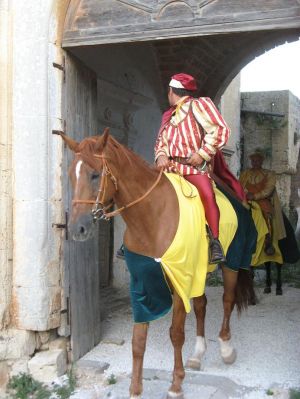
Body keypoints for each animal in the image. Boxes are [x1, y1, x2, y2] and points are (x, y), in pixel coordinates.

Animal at [60, 130, 255, 399]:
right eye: (70, 174)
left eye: (95, 174)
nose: (77, 229)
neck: (152, 216)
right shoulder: (143, 284)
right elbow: (138, 341)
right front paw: (135, 390)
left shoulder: (179, 281)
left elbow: (176, 334)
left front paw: (176, 385)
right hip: (199, 271)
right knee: (202, 305)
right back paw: (197, 354)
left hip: (231, 264)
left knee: (228, 300)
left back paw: (226, 348)